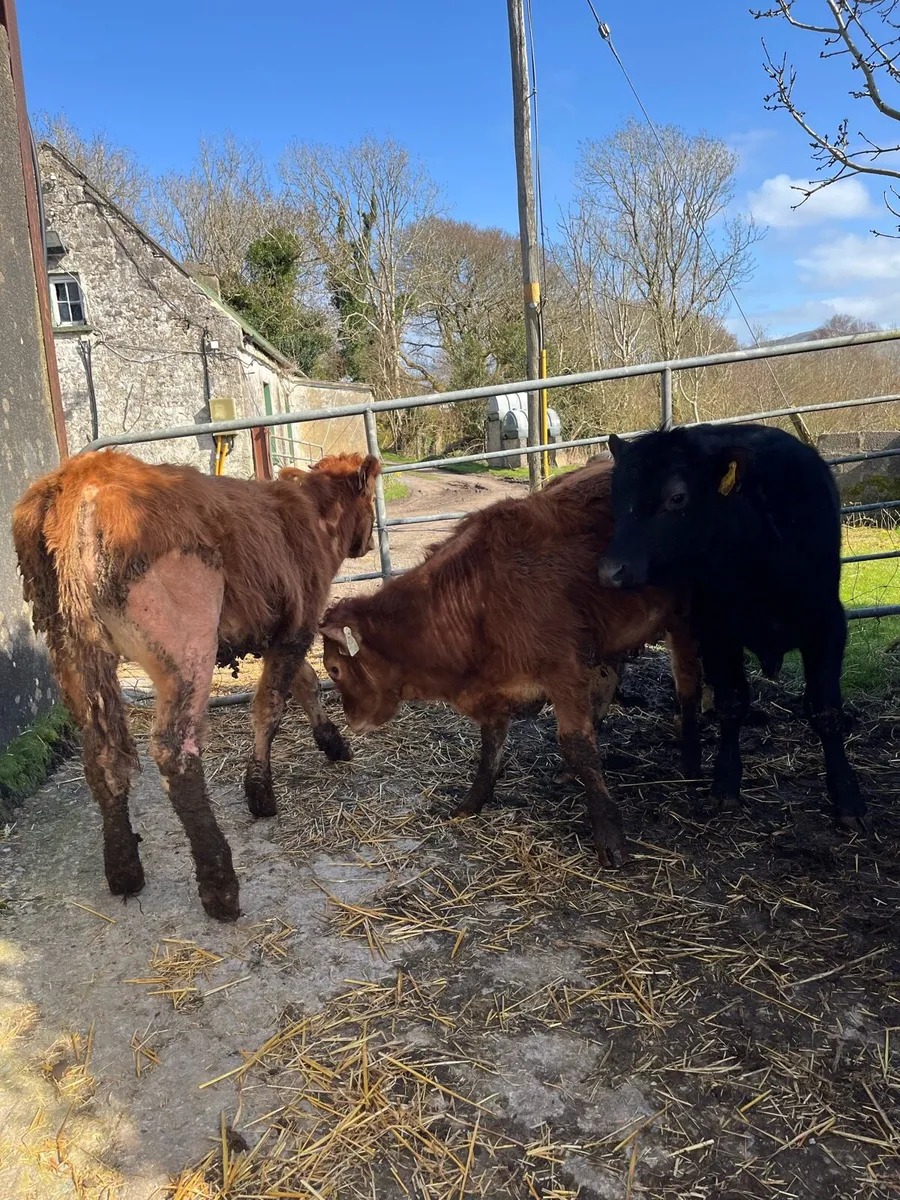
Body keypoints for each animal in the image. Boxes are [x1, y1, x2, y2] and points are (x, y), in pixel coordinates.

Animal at [13, 449, 380, 921]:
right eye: (369, 497)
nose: (368, 541)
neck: (311, 512)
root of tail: (81, 481)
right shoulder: (298, 623)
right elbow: (270, 706)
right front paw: (260, 792)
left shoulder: (277, 632)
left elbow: (304, 684)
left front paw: (331, 741)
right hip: (187, 649)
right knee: (175, 751)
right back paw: (220, 886)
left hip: (73, 650)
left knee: (102, 754)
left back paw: (124, 870)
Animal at [320, 461, 701, 868]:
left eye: (335, 670)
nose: (353, 721)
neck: (476, 594)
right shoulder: (495, 685)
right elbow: (490, 748)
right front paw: (471, 803)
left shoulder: (564, 670)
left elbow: (578, 745)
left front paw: (609, 835)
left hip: (684, 617)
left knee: (688, 686)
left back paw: (691, 761)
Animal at [598, 423, 864, 830]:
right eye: (616, 496)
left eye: (677, 497)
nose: (611, 571)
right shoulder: (717, 630)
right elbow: (732, 703)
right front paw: (725, 784)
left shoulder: (828, 626)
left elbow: (826, 711)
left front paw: (847, 798)